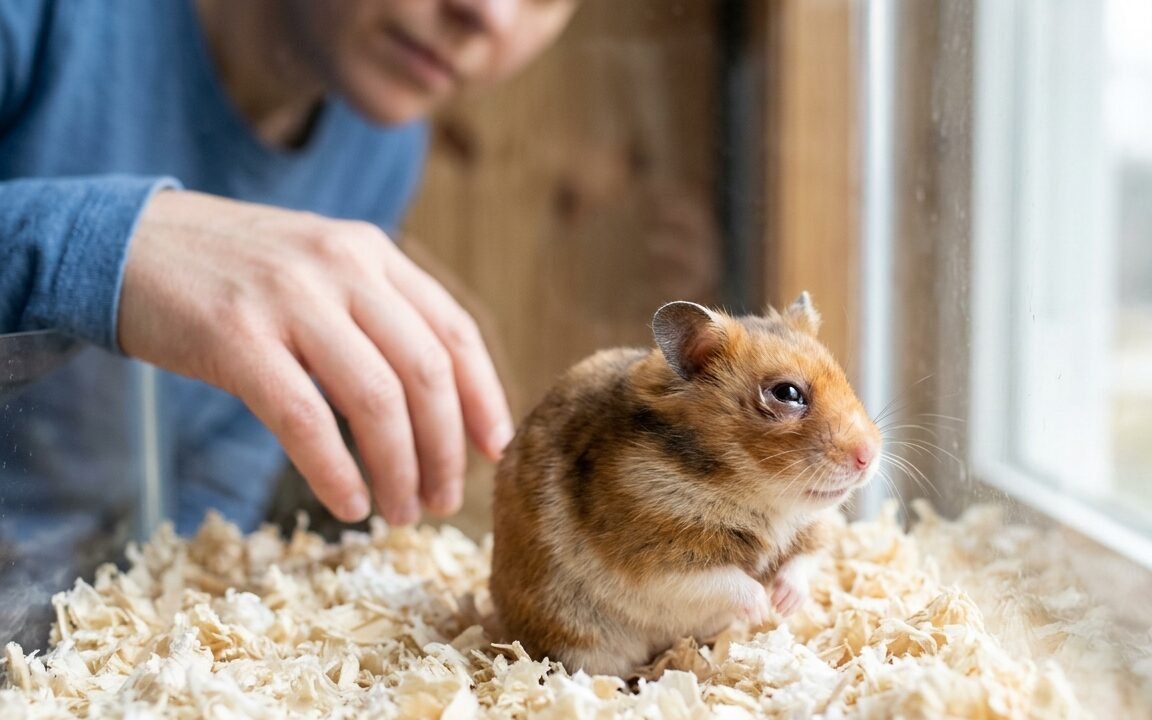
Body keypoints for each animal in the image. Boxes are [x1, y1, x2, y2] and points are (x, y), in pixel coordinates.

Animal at [490, 294, 882, 677]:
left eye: (843, 379)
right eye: (786, 393)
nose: (869, 455)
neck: (760, 497)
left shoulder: (814, 530)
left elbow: (803, 562)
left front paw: (783, 605)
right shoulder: (658, 561)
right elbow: (726, 581)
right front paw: (762, 607)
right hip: (582, 640)